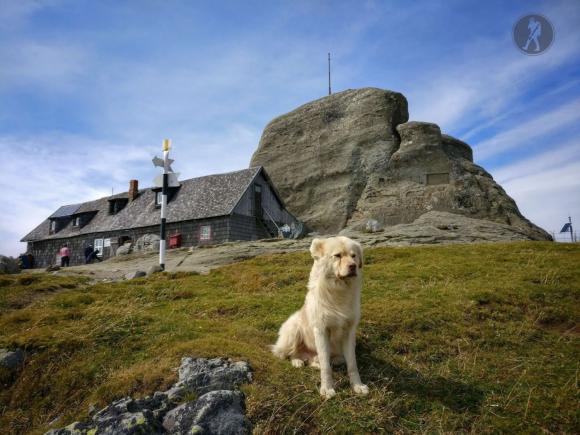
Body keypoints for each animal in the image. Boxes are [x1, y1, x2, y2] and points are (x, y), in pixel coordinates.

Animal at [270, 237, 368, 400]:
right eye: (337, 256)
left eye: (353, 256)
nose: (353, 266)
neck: (338, 291)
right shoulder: (321, 331)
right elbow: (326, 367)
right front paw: (327, 389)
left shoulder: (349, 332)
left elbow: (352, 364)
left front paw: (357, 386)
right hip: (293, 330)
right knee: (287, 353)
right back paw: (297, 361)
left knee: (327, 360)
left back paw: (314, 362)